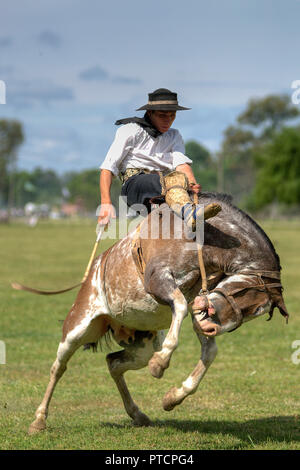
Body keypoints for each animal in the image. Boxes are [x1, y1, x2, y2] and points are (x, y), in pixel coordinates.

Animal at [27, 191, 290, 434]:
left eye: (257, 312)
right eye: (249, 300)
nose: (211, 328)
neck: (205, 238)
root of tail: (95, 267)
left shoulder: (199, 304)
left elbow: (209, 351)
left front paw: (173, 398)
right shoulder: (159, 281)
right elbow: (180, 307)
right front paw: (161, 364)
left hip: (141, 344)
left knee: (113, 363)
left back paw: (138, 414)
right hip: (78, 328)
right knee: (58, 367)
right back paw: (38, 420)